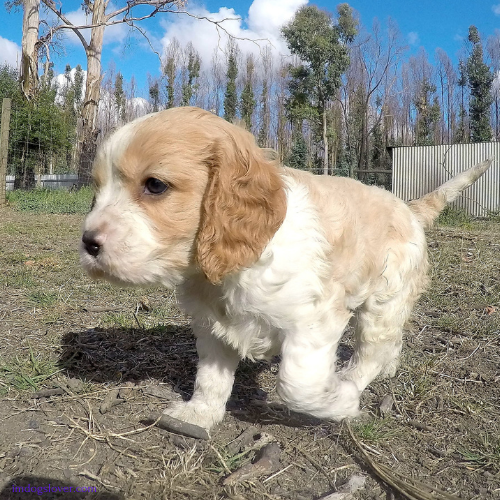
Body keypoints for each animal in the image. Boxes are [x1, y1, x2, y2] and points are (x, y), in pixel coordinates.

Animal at [80, 107, 494, 432]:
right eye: (96, 191)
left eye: (155, 185)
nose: (88, 242)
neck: (229, 270)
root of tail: (408, 208)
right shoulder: (214, 327)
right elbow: (210, 377)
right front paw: (199, 413)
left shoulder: (316, 319)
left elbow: (296, 385)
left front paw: (341, 400)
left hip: (384, 299)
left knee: (372, 349)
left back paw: (354, 380)